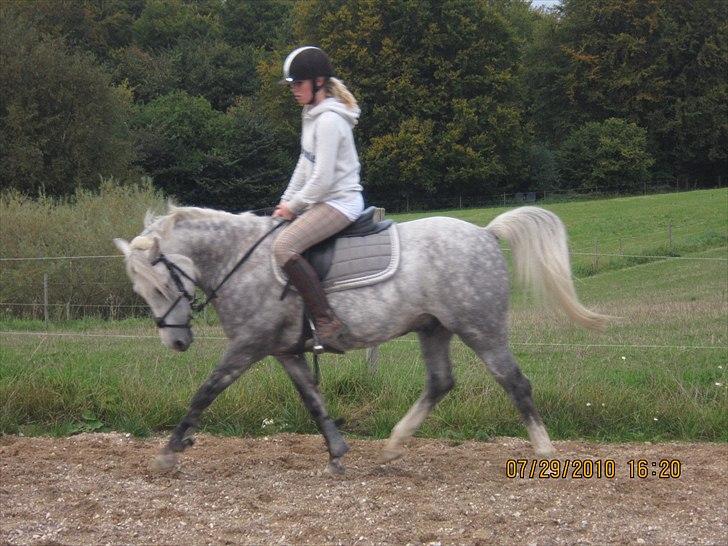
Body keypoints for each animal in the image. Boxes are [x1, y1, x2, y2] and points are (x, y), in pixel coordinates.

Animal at [112, 204, 604, 472]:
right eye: (143, 291)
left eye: (159, 287)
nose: (175, 343)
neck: (241, 260)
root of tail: (485, 233)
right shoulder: (283, 351)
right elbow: (312, 400)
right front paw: (337, 453)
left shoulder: (247, 346)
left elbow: (205, 392)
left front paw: (168, 454)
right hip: (434, 328)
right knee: (441, 382)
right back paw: (393, 446)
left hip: (480, 328)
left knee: (515, 382)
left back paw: (543, 450)